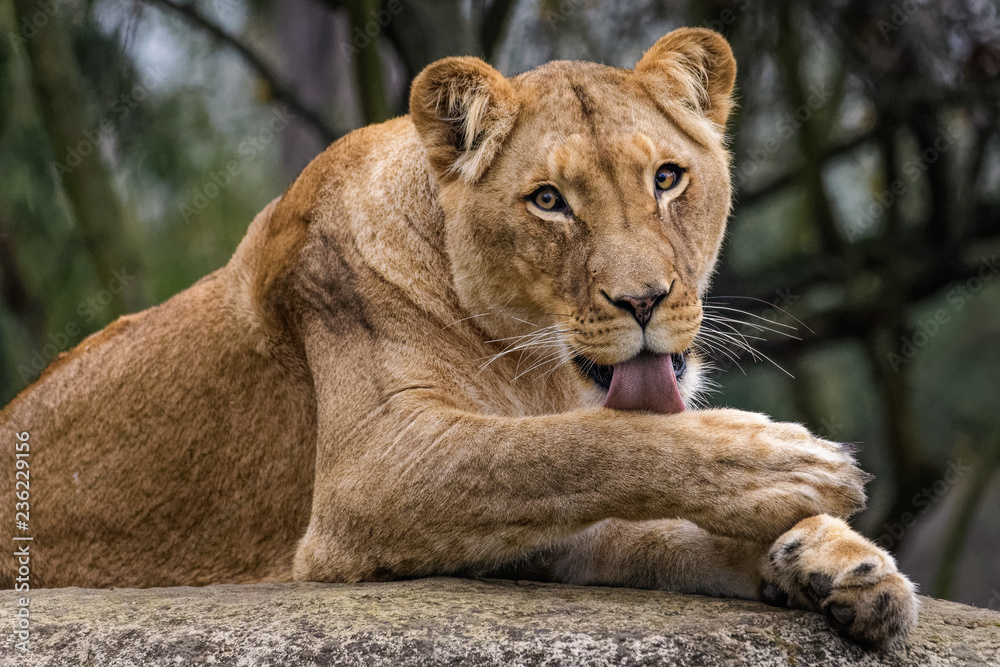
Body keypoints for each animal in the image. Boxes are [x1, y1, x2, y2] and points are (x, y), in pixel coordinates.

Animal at [1, 28, 918, 649]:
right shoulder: (367, 478)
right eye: (549, 201)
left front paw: (839, 561)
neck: (541, 370)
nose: (645, 299)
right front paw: (789, 465)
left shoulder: (545, 535)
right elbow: (564, 448)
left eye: (667, 178)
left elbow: (637, 508)